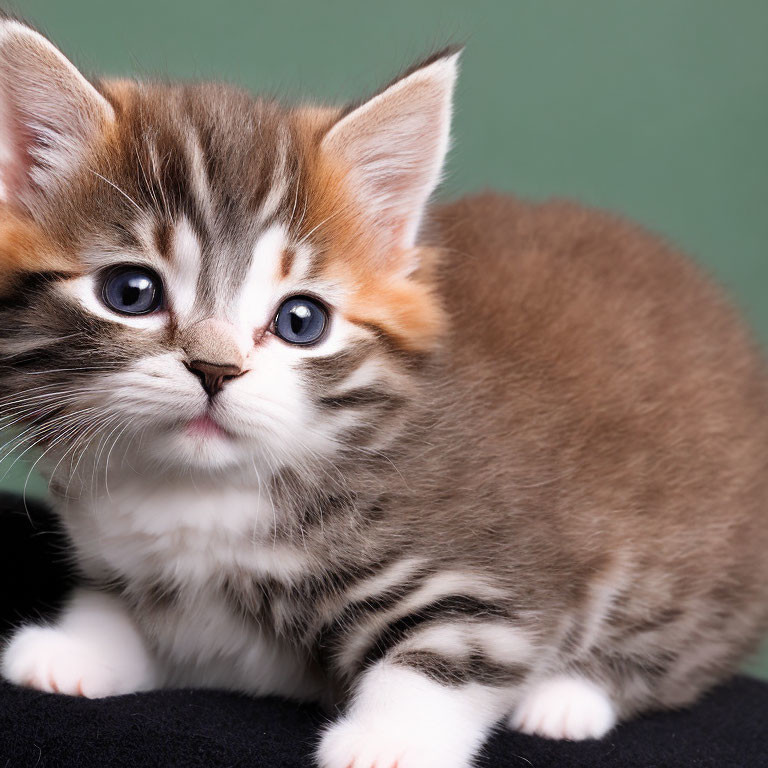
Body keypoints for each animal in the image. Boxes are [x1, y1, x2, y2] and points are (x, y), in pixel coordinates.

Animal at [1, 18, 768, 768]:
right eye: (131, 292)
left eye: (300, 321)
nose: (215, 370)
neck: (204, 495)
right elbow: (119, 606)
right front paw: (76, 648)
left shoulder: (490, 569)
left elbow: (451, 653)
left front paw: (390, 741)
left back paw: (566, 699)